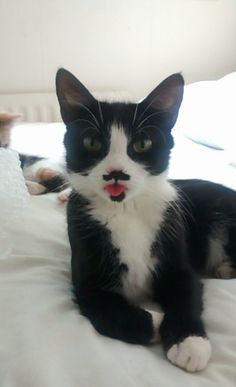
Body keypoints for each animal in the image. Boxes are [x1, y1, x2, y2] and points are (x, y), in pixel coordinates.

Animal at [55, 68, 236, 374]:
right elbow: (107, 311)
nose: (116, 173)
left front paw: (189, 343)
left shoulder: (176, 244)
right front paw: (156, 322)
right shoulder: (86, 281)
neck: (126, 210)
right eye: (92, 142)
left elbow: (186, 293)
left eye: (142, 144)